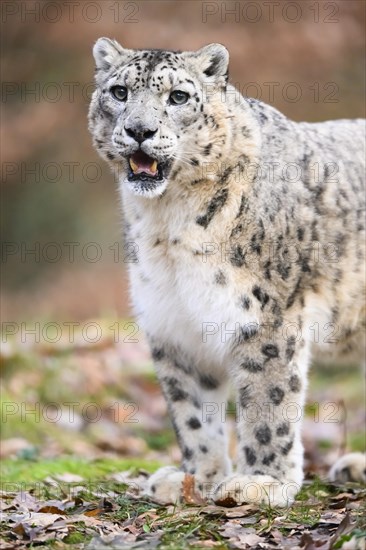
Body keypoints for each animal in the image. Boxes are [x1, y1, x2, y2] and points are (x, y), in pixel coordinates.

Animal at [88, 38, 366, 508]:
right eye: (120, 92)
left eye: (178, 96)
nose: (140, 130)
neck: (167, 223)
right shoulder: (174, 324)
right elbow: (192, 412)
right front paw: (196, 478)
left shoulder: (266, 317)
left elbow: (268, 401)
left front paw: (261, 481)